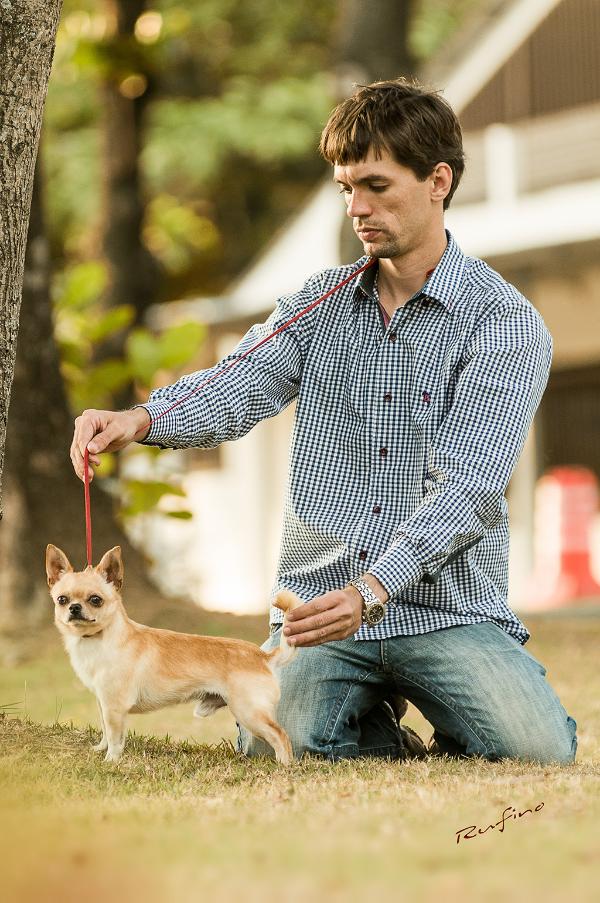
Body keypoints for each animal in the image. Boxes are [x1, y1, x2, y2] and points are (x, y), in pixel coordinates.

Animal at [44, 544, 302, 764]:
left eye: (96, 600)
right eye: (62, 600)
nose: (74, 608)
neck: (98, 639)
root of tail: (264, 657)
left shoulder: (114, 706)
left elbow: (115, 737)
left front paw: (111, 761)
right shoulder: (104, 703)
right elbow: (106, 731)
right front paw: (101, 749)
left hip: (249, 712)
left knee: (281, 735)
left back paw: (284, 766)